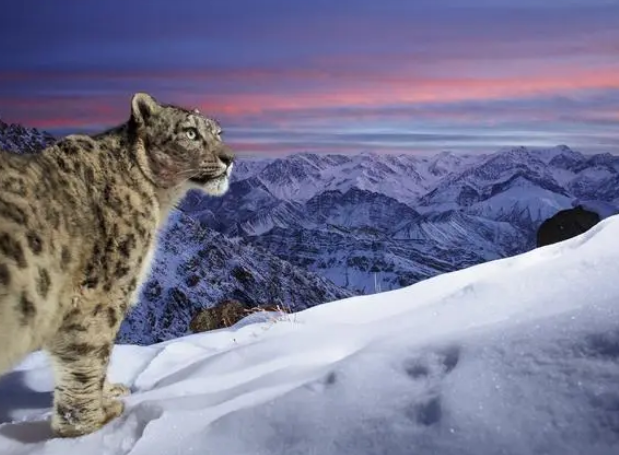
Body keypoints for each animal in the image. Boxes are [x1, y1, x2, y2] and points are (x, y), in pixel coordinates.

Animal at [0, 92, 235, 438]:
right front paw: (90, 421)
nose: (229, 158)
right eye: (190, 132)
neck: (159, 200)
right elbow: (90, 354)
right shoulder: (103, 293)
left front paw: (108, 392)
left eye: (218, 132)